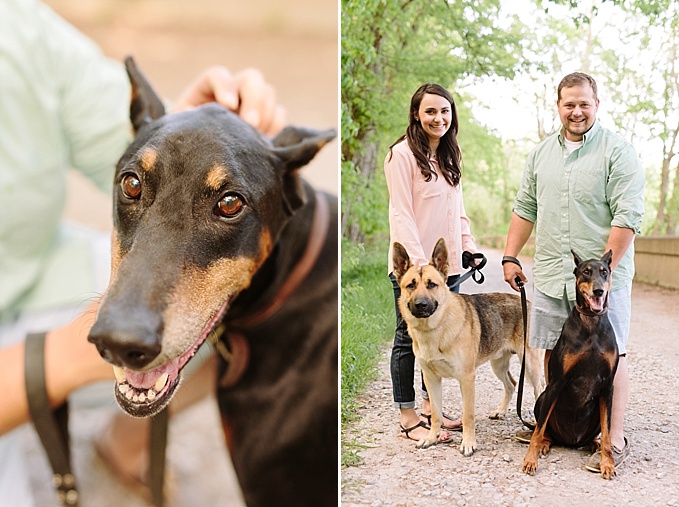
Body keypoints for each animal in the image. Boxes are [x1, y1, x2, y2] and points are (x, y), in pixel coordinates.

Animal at [390, 238, 544, 456]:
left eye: (432, 285)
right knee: (512, 384)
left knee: (539, 388)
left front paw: (469, 443)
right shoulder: (431, 379)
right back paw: (500, 411)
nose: (421, 305)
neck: (436, 328)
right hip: (498, 365)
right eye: (410, 285)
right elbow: (435, 414)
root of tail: (526, 302)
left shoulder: (467, 378)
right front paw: (431, 438)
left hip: (529, 365)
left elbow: (468, 415)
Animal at [524, 251, 624, 480]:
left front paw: (607, 463)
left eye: (604, 272)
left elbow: (607, 432)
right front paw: (530, 460)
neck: (592, 324)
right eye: (586, 271)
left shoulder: (608, 386)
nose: (598, 290)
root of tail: (571, 441)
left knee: (598, 433)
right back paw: (545, 444)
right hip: (543, 398)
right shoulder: (557, 382)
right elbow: (538, 430)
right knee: (544, 429)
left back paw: (593, 444)